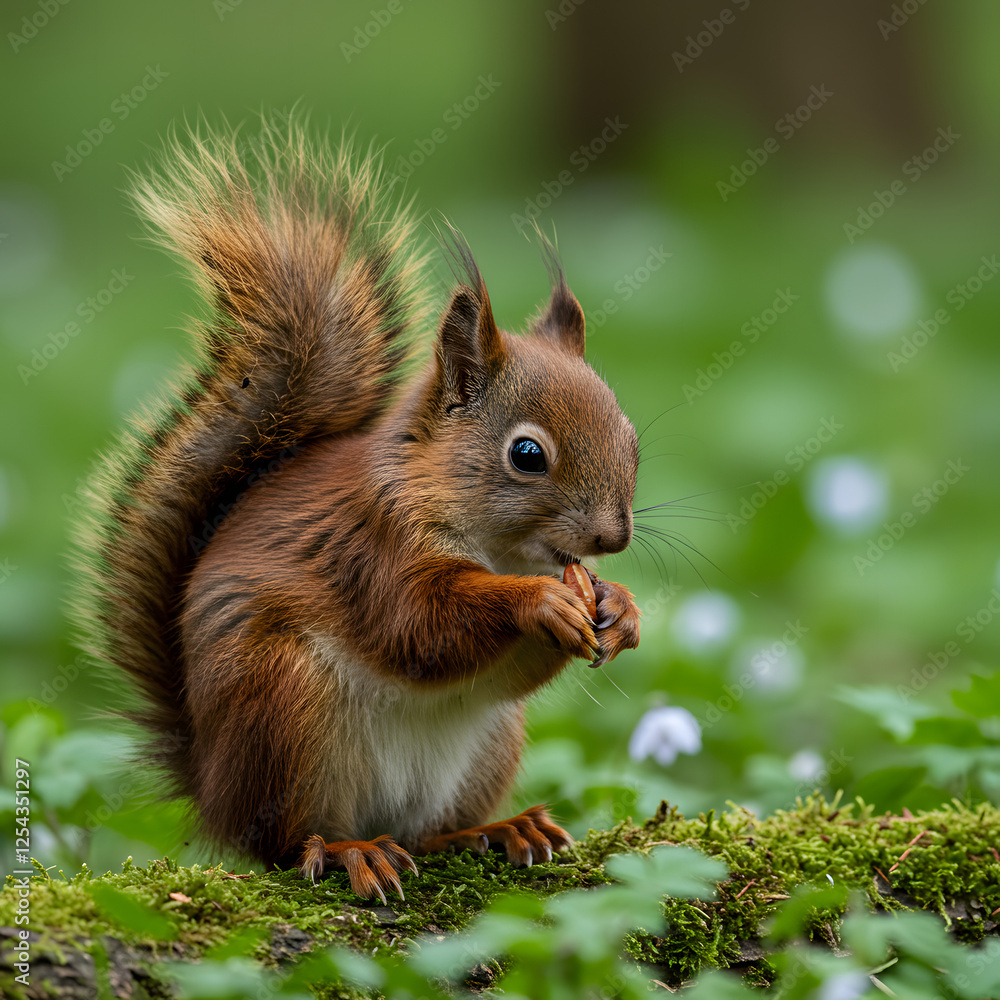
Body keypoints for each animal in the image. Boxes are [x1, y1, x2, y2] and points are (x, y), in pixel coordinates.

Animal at [73, 123, 642, 903]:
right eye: (527, 455)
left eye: (632, 437)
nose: (612, 537)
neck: (500, 550)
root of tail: (211, 788)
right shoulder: (373, 548)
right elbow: (420, 626)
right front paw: (539, 603)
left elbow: (506, 667)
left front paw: (621, 608)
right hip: (281, 707)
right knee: (286, 844)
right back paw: (350, 852)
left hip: (487, 746)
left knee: (429, 833)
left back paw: (497, 830)